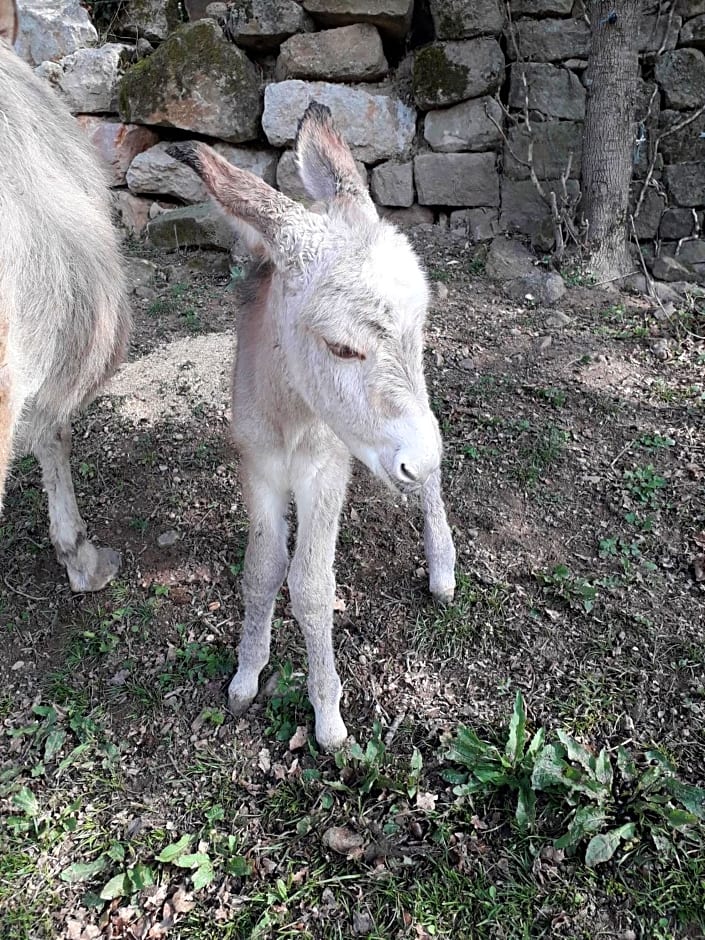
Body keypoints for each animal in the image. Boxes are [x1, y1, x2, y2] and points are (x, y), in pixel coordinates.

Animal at [169, 101, 456, 748]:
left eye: (416, 327)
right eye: (341, 348)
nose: (408, 459)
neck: (289, 414)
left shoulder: (325, 470)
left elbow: (311, 586)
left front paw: (327, 715)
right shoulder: (257, 466)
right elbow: (262, 570)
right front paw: (246, 676)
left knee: (432, 456)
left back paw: (442, 566)